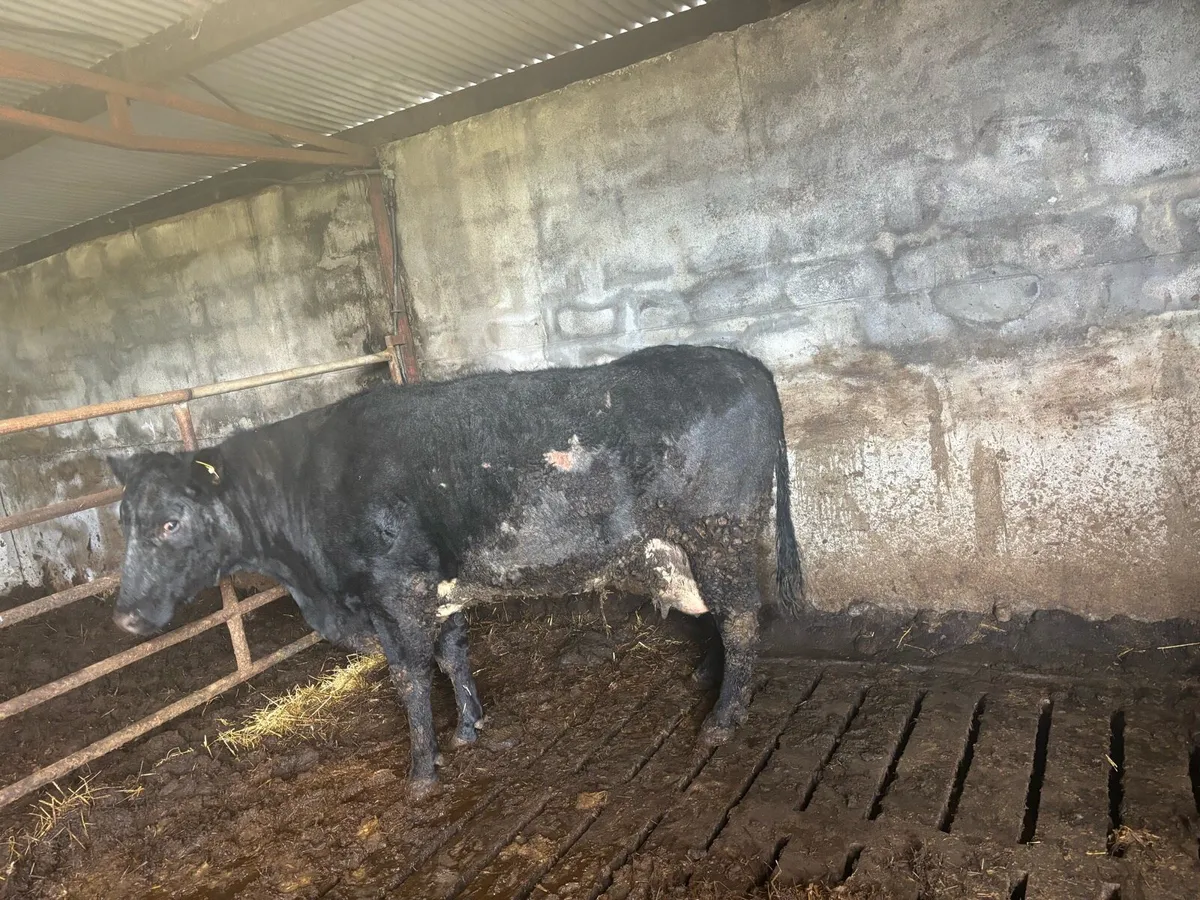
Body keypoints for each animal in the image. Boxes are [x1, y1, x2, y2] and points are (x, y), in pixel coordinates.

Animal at [107, 344, 805, 795]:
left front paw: (422, 772)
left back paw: (722, 719)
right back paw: (709, 677)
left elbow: (411, 678)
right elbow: (453, 655)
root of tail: (743, 362)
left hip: (720, 532)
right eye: (123, 518)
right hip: (691, 548)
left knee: (742, 618)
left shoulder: (396, 591)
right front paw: (470, 728)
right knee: (719, 615)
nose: (126, 616)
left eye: (169, 522)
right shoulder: (435, 591)